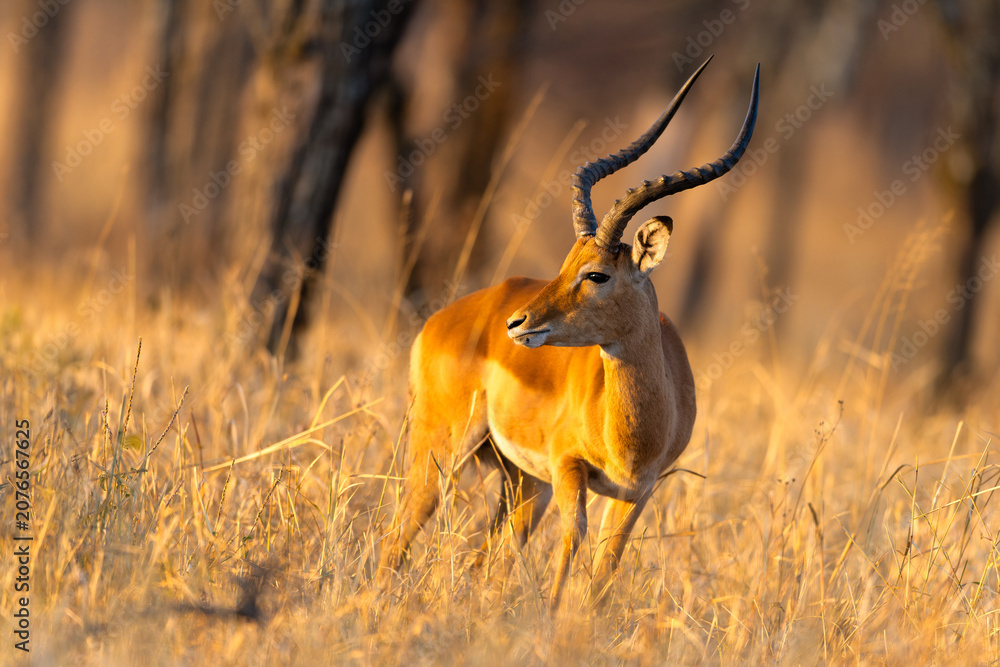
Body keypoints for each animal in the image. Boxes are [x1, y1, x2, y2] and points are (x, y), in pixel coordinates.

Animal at [378, 58, 759, 608]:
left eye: (596, 274)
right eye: (565, 264)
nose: (516, 323)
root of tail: (451, 315)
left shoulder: (638, 493)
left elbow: (606, 564)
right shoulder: (568, 467)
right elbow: (570, 539)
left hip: (521, 483)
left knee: (483, 559)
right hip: (442, 453)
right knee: (398, 535)